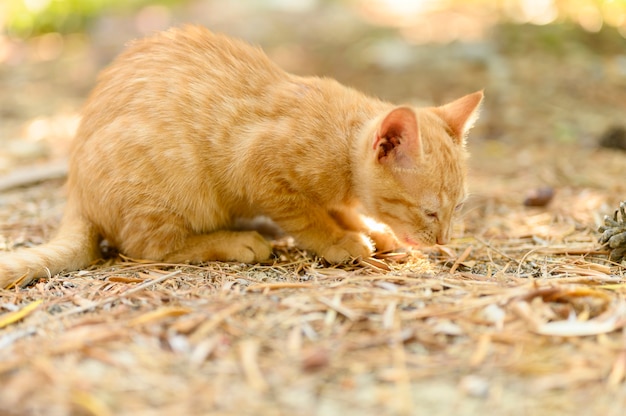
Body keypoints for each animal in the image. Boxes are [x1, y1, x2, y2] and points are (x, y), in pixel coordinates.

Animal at [0, 25, 482, 286]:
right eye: (430, 211)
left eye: (458, 208)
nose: (443, 241)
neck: (341, 140)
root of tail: (74, 190)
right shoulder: (258, 168)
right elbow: (308, 217)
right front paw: (341, 239)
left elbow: (338, 209)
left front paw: (369, 228)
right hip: (171, 183)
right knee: (150, 247)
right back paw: (237, 241)